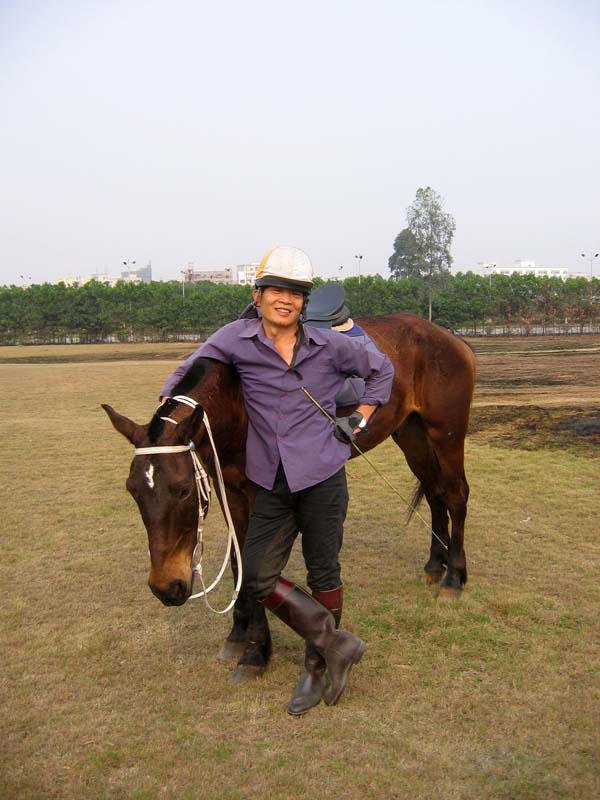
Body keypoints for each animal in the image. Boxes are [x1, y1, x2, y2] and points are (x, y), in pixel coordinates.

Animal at [104, 312, 478, 680]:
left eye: (183, 490)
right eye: (132, 490)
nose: (165, 587)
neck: (234, 401)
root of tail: (451, 339)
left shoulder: (260, 494)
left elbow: (256, 566)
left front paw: (256, 651)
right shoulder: (229, 490)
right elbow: (240, 563)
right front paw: (238, 634)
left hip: (445, 434)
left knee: (455, 495)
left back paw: (453, 578)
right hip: (412, 434)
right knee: (435, 494)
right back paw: (435, 564)